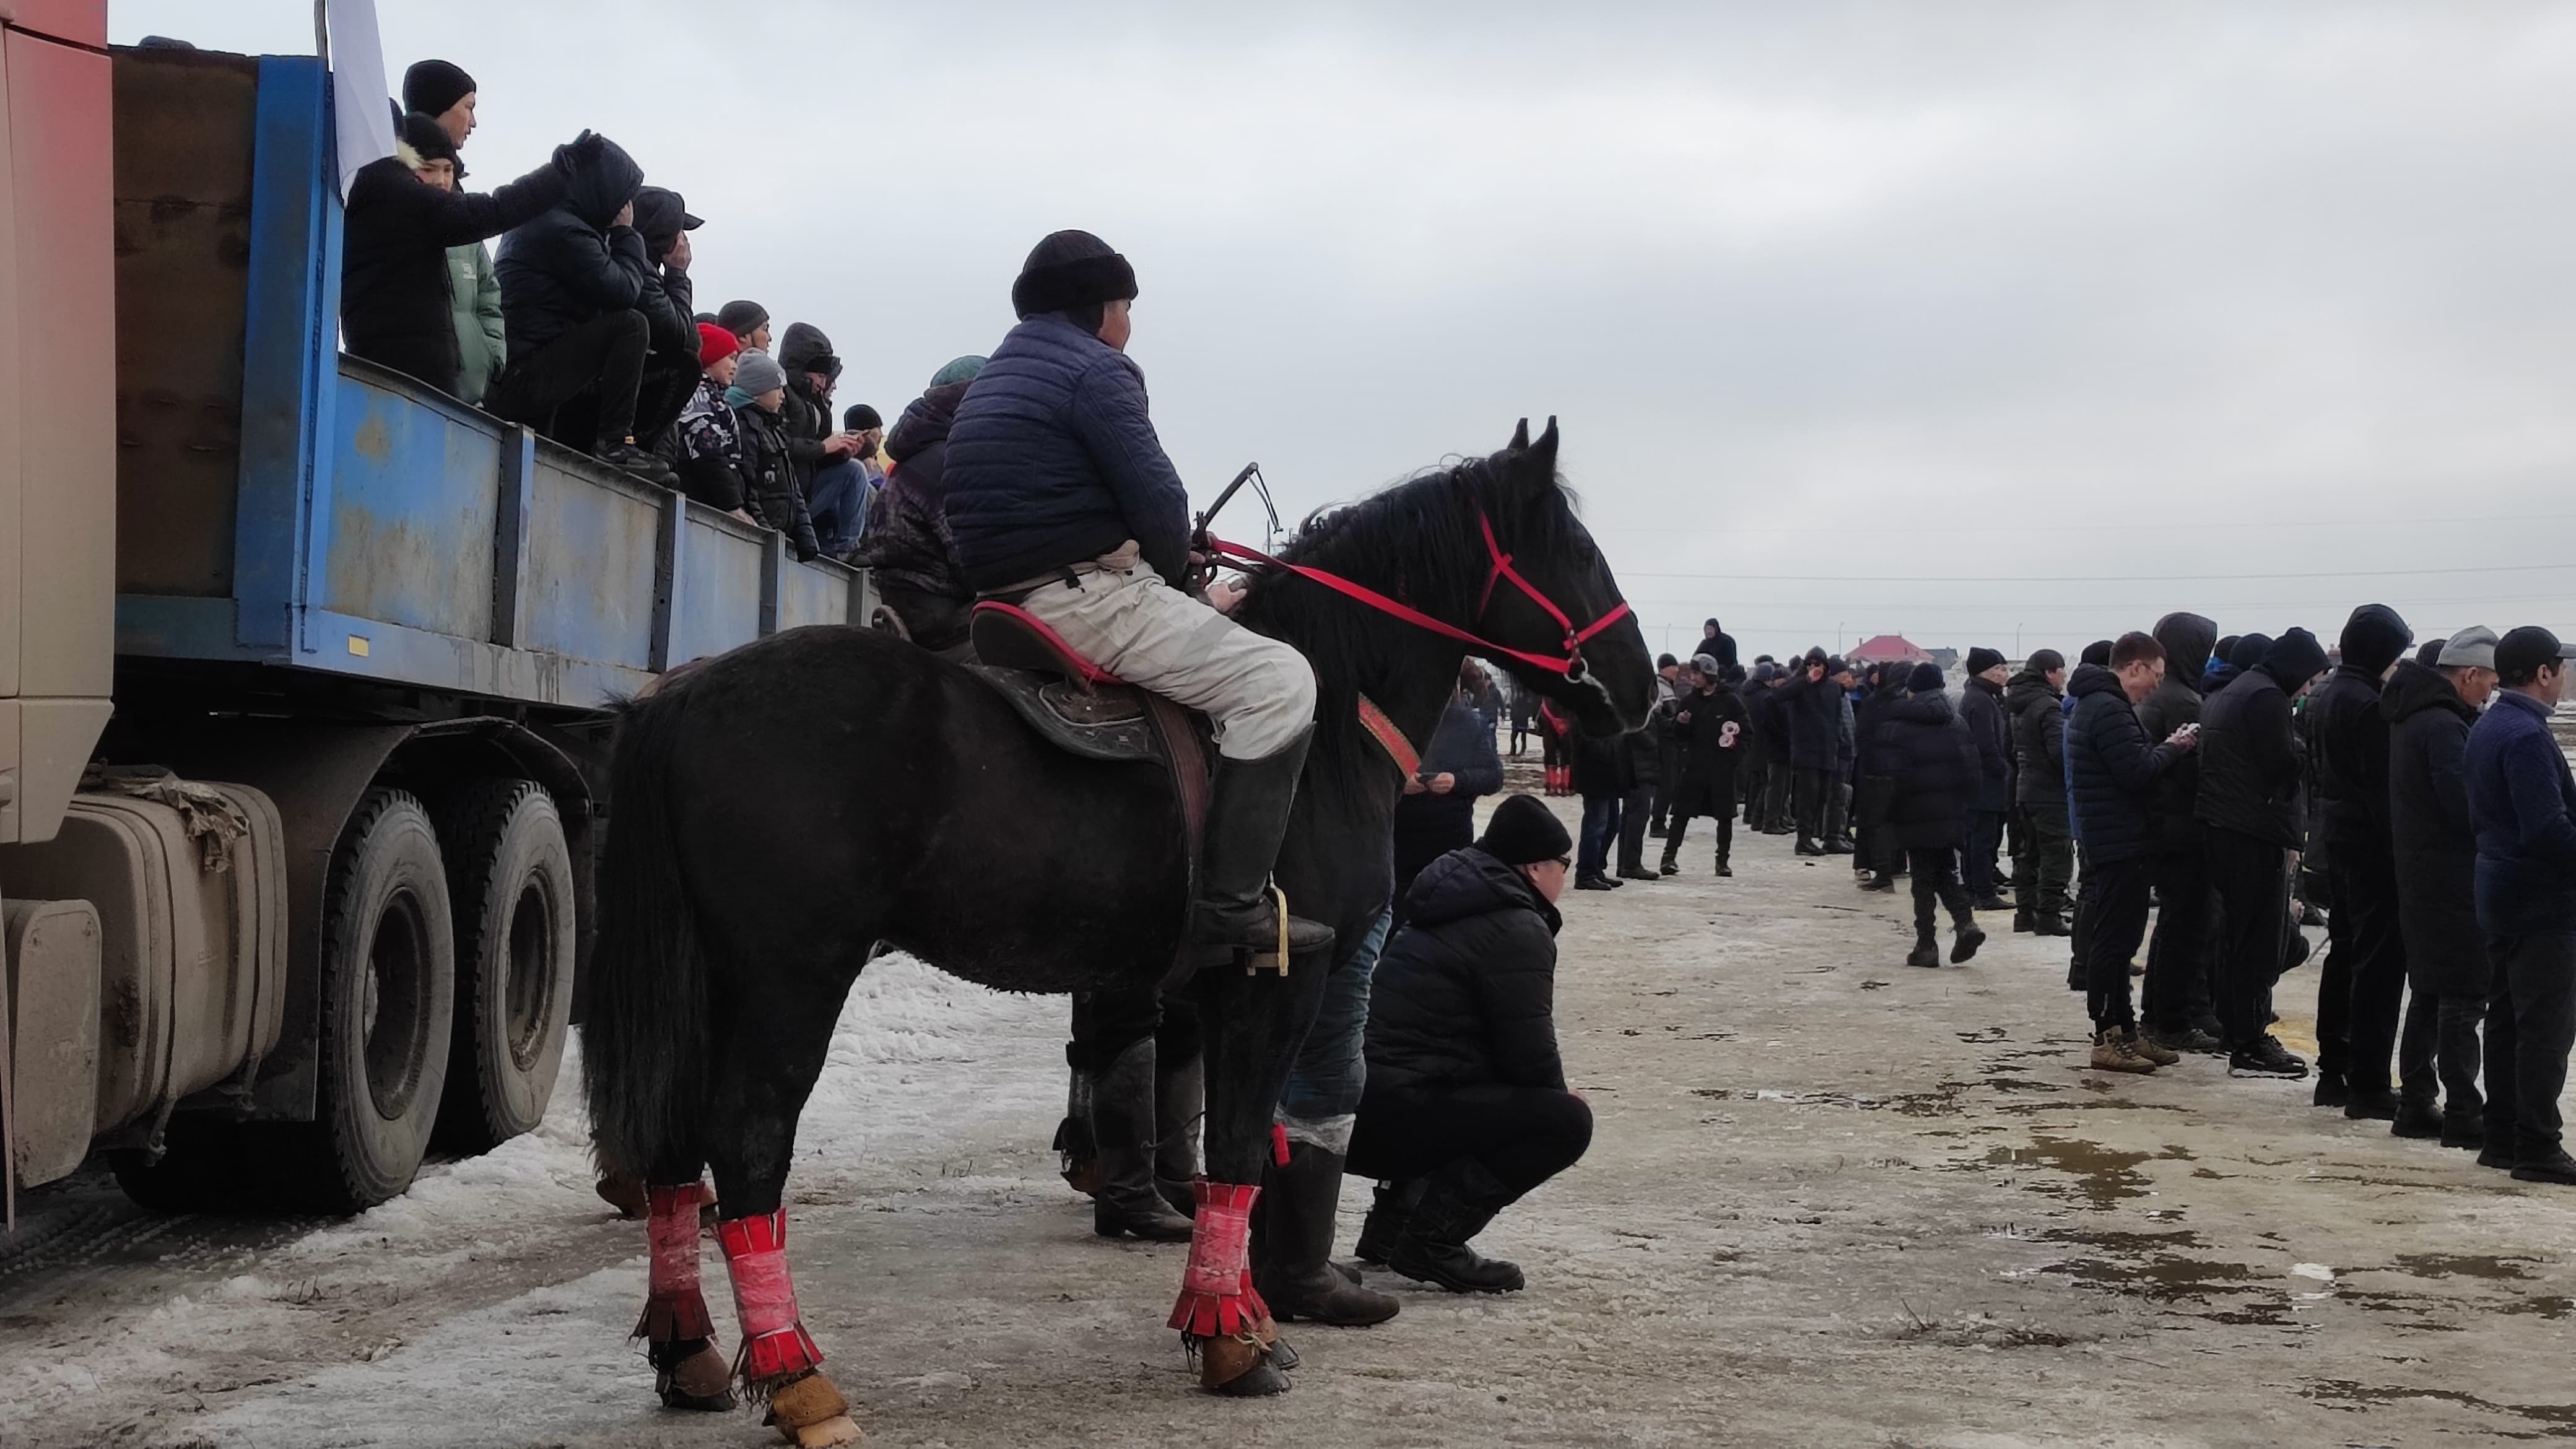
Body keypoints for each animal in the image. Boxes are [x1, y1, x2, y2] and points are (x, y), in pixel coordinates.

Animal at [582, 412, 1638, 1434]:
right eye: (1578, 549)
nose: (1637, 682)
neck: (1329, 730)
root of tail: (685, 691)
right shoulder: (1281, 980)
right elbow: (1242, 1147)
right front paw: (1233, 1342)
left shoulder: (1208, 993)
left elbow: (1241, 1145)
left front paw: (1246, 1313)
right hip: (790, 980)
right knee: (748, 1148)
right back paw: (798, 1382)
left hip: (709, 981)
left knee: (674, 1145)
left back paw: (690, 1355)